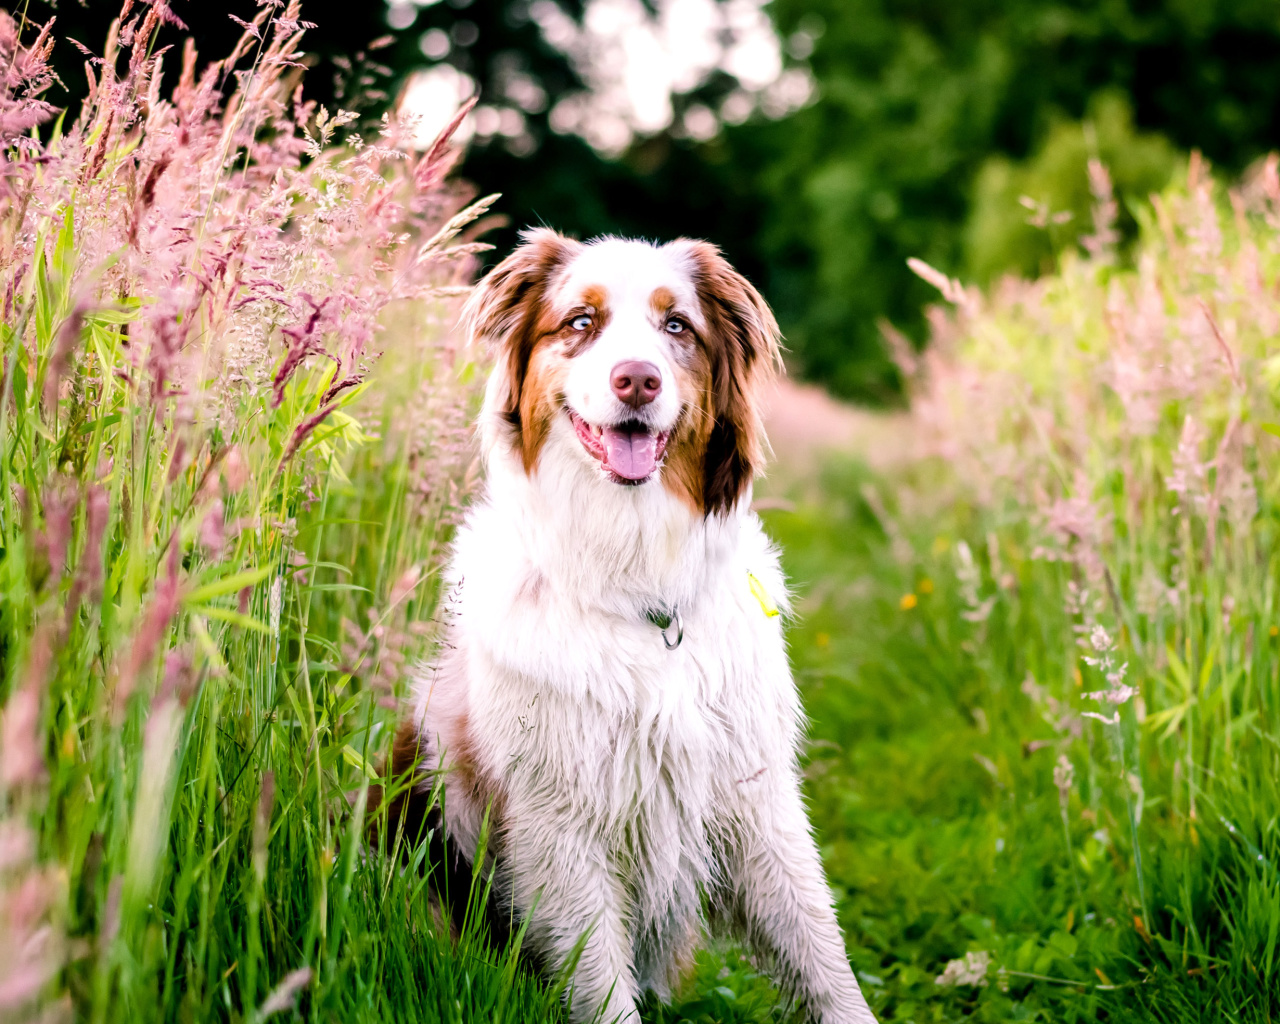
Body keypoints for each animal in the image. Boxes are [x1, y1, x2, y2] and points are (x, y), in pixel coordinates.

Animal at [389, 231, 880, 1024]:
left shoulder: (756, 794)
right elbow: (601, 984)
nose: (637, 381)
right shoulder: (558, 829)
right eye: (580, 322)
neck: (639, 587)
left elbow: (820, 951)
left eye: (676, 325)